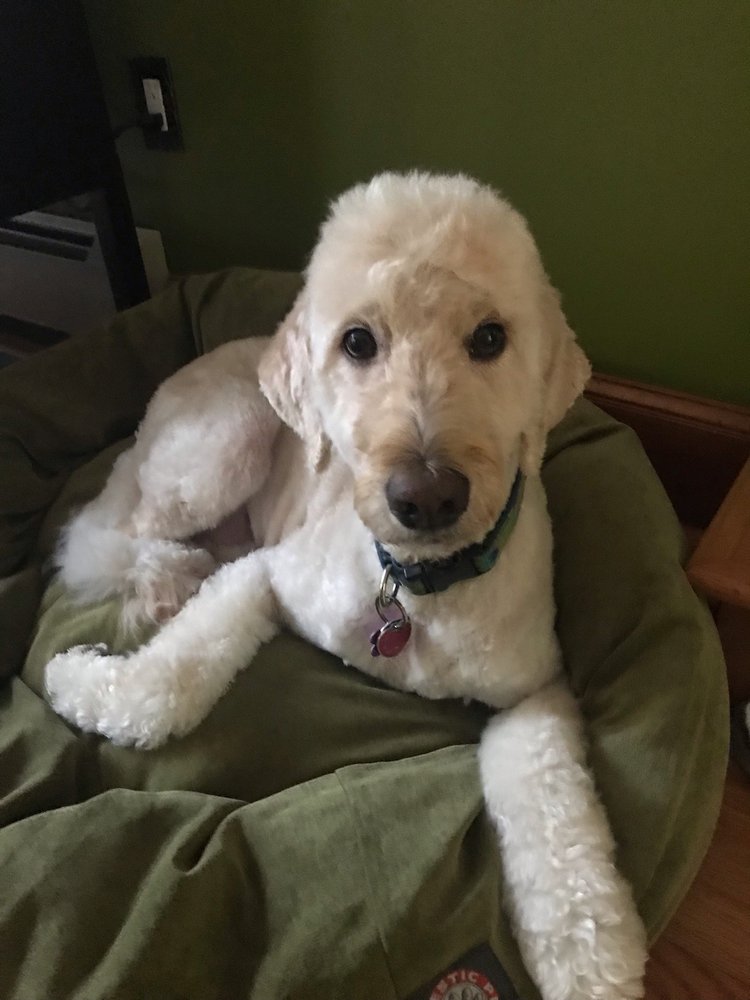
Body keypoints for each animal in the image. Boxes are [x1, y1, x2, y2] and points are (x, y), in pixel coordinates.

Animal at [46, 173, 647, 1000]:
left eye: (491, 338)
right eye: (358, 341)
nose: (427, 495)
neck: (419, 586)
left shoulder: (535, 692)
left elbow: (557, 823)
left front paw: (592, 957)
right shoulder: (272, 574)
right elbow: (169, 683)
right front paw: (85, 685)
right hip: (222, 444)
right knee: (123, 532)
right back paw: (163, 578)